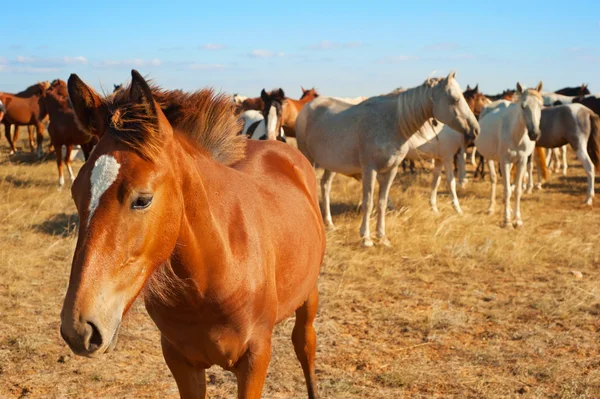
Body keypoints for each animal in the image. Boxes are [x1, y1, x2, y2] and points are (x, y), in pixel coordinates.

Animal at [58, 71, 326, 399]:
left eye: (142, 199)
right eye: (75, 192)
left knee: (305, 344)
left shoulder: (256, 357)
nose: (78, 329)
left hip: (309, 293)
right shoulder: (180, 359)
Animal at [296, 72, 478, 247]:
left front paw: (382, 237)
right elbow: (368, 202)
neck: (393, 123)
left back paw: (329, 223)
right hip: (308, 158)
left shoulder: (391, 170)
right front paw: (366, 238)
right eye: (455, 99)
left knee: (325, 186)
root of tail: (306, 108)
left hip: (332, 164)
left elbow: (382, 202)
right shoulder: (370, 169)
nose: (475, 130)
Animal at [476, 82, 548, 228]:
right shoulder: (504, 161)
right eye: (523, 106)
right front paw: (507, 221)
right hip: (490, 158)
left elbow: (517, 190)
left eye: (540, 105)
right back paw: (491, 208)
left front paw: (518, 219)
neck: (516, 135)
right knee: (494, 179)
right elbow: (507, 190)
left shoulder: (522, 161)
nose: (535, 134)